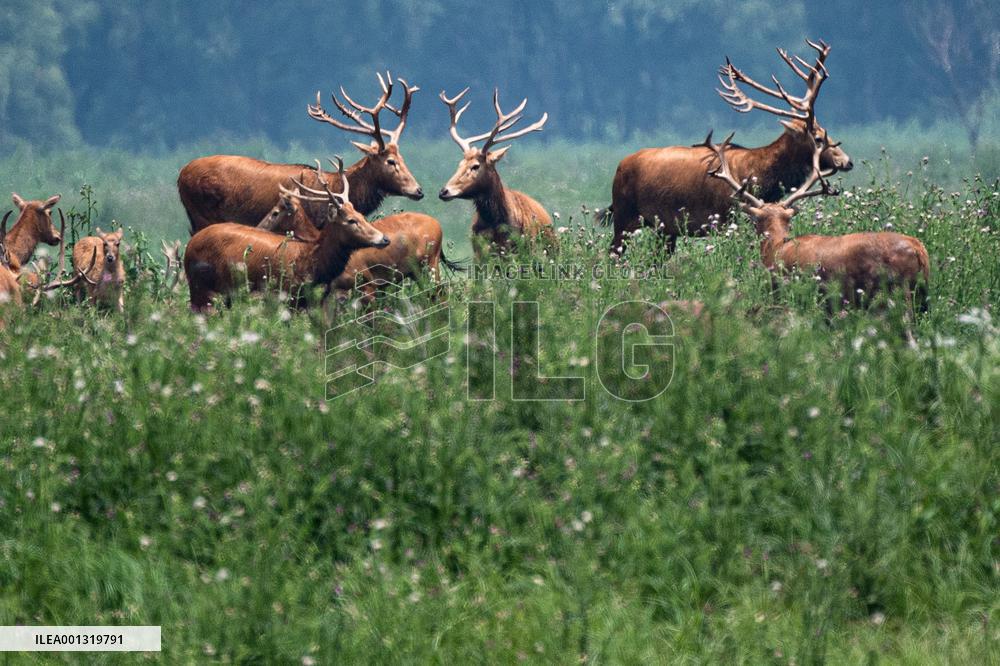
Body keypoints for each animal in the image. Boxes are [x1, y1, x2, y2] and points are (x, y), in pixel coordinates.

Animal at [178, 72, 423, 234]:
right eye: (390, 161)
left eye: (402, 158)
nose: (418, 190)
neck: (335, 186)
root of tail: (180, 176)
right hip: (203, 213)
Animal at [183, 157, 390, 312]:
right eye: (351, 220)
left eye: (361, 216)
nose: (384, 238)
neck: (312, 262)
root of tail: (189, 246)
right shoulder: (286, 296)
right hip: (200, 289)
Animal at [607, 39, 853, 256]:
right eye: (819, 138)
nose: (847, 161)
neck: (761, 176)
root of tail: (620, 165)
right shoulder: (727, 217)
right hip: (624, 215)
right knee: (614, 253)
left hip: (664, 227)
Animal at [706, 132, 929, 316]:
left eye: (755, 219)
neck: (775, 248)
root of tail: (919, 250)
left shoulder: (785, 290)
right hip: (922, 295)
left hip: (897, 291)